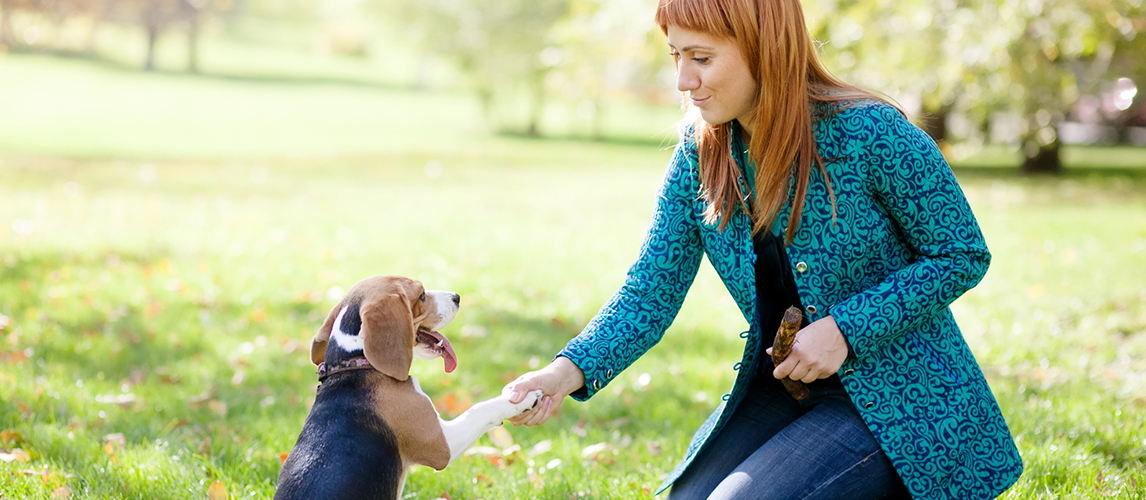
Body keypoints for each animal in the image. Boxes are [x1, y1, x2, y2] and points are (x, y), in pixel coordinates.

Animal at [277, 275, 545, 499]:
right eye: (422, 295)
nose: (457, 296)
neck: (356, 362)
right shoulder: (441, 445)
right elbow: (478, 409)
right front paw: (521, 397)